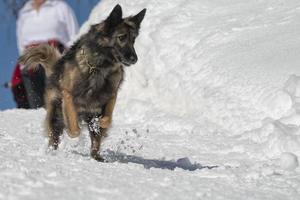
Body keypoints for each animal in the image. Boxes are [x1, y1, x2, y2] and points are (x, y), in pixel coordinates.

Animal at [18, 4, 146, 161]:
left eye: (133, 40)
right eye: (122, 37)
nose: (134, 59)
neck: (99, 67)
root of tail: (56, 68)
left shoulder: (111, 95)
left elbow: (107, 119)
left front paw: (99, 123)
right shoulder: (68, 96)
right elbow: (74, 127)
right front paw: (72, 131)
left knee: (95, 141)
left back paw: (97, 154)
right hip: (55, 112)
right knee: (54, 135)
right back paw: (52, 152)